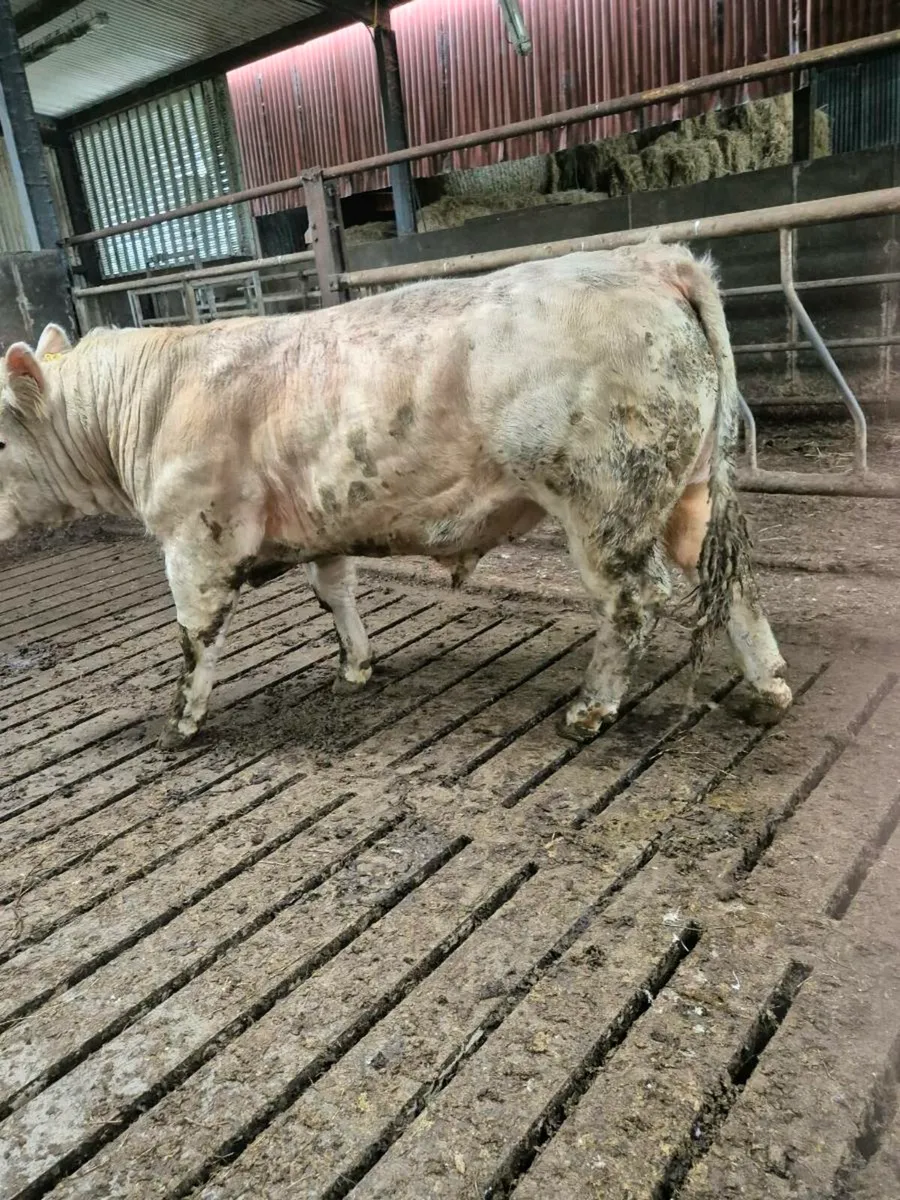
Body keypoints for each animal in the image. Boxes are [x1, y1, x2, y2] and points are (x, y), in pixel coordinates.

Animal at [0, 241, 791, 750]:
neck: (156, 397)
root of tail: (649, 260)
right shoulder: (322, 523)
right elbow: (336, 594)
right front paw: (355, 668)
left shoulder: (196, 537)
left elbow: (197, 637)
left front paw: (179, 724)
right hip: (691, 490)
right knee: (735, 583)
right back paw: (768, 693)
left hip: (603, 500)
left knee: (636, 597)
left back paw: (590, 710)